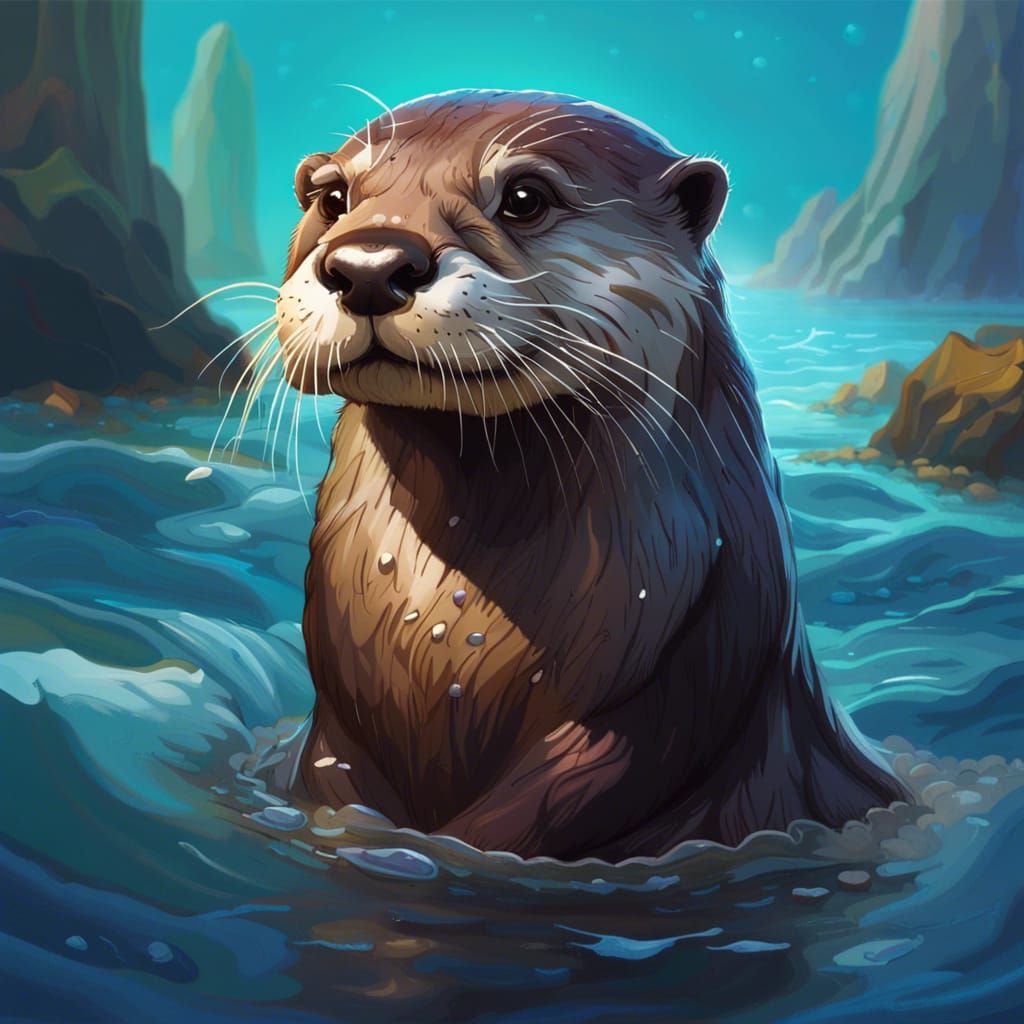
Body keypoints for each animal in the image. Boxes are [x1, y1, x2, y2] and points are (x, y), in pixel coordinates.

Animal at [273, 90, 906, 861]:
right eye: (333, 197)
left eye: (525, 197)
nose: (368, 263)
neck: (447, 635)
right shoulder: (337, 733)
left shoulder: (661, 703)